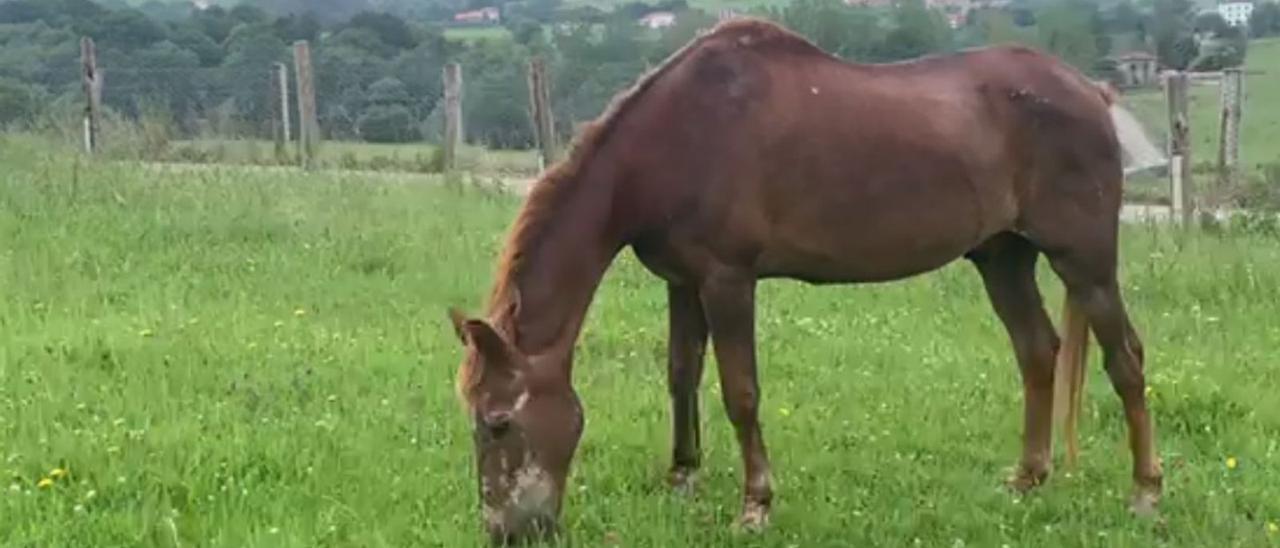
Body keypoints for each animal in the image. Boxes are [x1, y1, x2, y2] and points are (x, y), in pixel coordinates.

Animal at [445, 17, 1167, 542]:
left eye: (499, 423)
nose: (508, 532)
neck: (674, 140)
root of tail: (1091, 93)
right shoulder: (682, 282)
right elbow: (681, 374)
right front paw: (683, 477)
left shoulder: (727, 280)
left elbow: (740, 391)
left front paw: (755, 503)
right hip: (1003, 257)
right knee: (1038, 352)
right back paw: (1028, 478)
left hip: (1085, 260)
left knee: (1125, 359)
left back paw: (1146, 491)